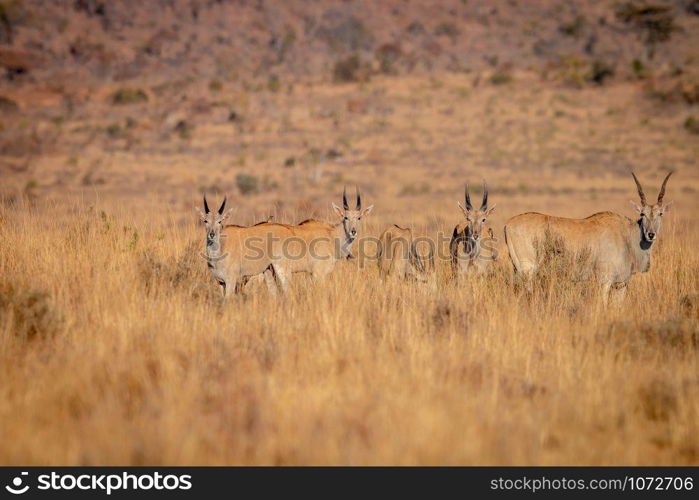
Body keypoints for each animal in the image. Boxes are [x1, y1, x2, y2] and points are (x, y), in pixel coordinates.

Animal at [506, 172, 676, 302]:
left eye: (660, 213)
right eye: (642, 214)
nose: (650, 234)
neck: (626, 235)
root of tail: (508, 224)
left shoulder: (620, 285)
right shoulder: (604, 282)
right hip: (528, 271)